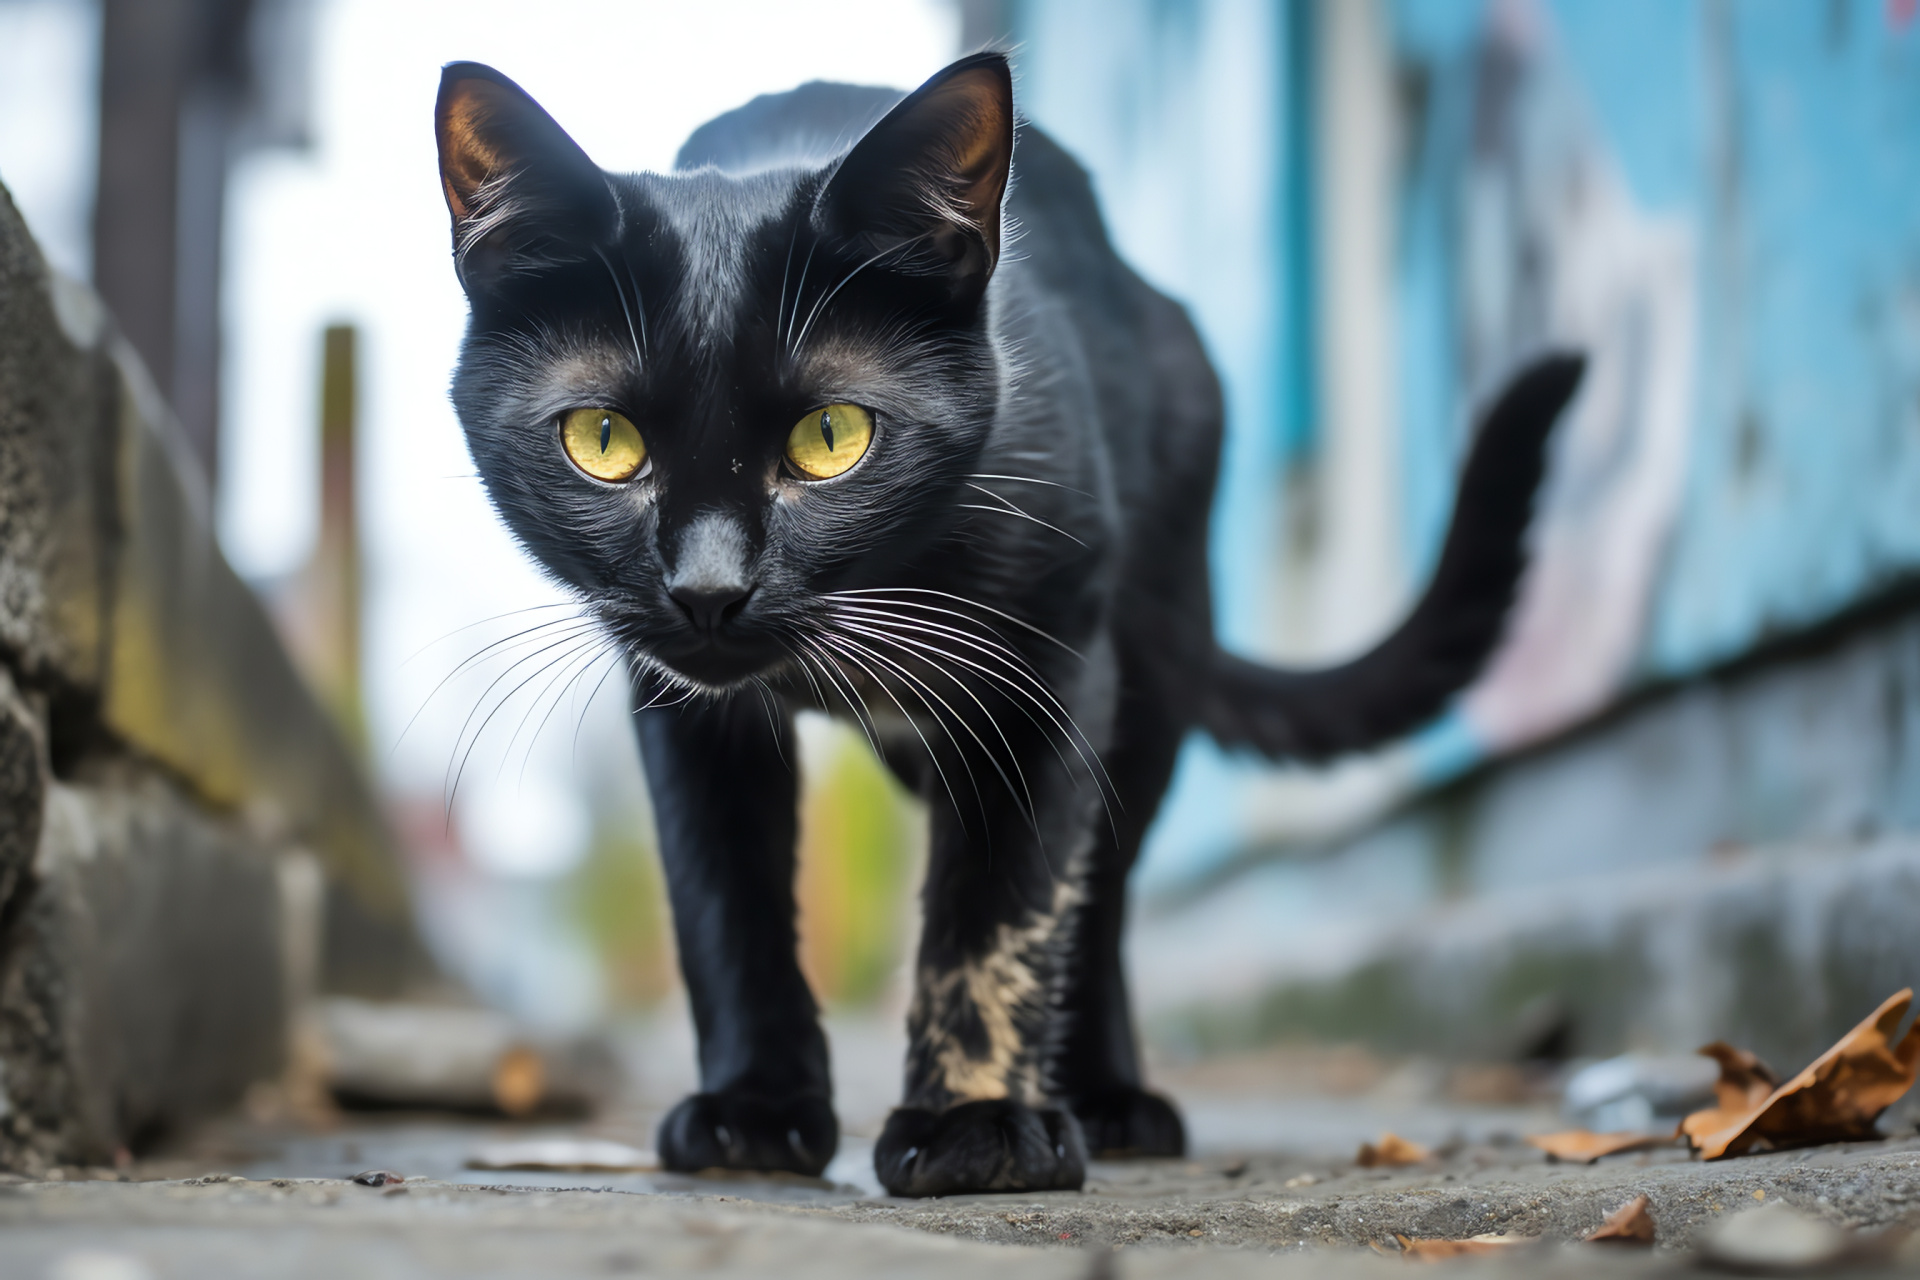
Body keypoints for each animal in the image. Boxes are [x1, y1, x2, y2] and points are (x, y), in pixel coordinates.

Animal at [439, 47, 1589, 1189]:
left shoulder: (1053, 665)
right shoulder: (684, 707)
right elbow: (724, 900)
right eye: (603, 439)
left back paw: (1112, 1096)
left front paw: (976, 1120)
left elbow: (1002, 905)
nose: (711, 589)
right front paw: (755, 1111)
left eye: (831, 435)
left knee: (1102, 888)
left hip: (1155, 657)